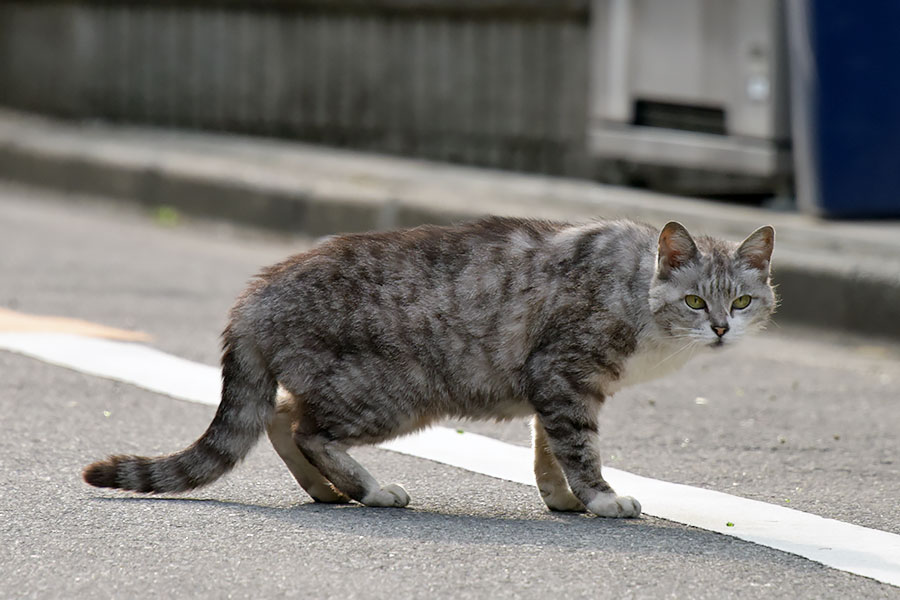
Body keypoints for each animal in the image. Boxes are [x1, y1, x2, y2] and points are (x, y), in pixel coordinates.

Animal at [84, 218, 772, 516]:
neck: (633, 288)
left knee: (279, 416)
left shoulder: (558, 388)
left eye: (740, 301)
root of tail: (255, 295)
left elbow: (546, 449)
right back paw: (368, 489)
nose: (720, 329)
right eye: (694, 301)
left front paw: (561, 498)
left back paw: (325, 490)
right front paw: (600, 498)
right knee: (306, 428)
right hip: (392, 392)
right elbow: (578, 449)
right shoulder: (563, 376)